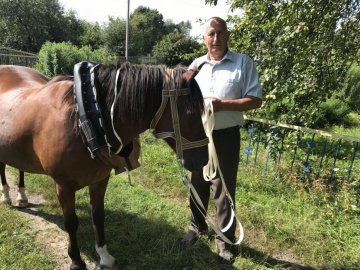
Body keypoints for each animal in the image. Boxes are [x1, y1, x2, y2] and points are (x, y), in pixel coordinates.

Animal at [0, 62, 208, 268]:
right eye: (192, 113)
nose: (204, 160)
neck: (84, 120)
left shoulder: (99, 180)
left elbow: (98, 216)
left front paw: (104, 255)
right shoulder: (63, 187)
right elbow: (71, 222)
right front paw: (76, 260)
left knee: (18, 166)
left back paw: (21, 195)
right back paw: (7, 195)